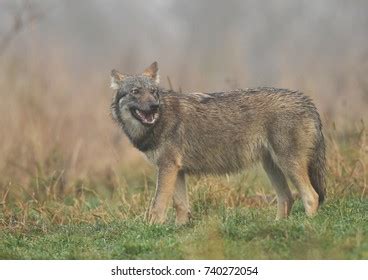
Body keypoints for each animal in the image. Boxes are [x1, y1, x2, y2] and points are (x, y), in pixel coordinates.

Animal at [109, 62, 324, 224]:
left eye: (153, 91)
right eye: (135, 91)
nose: (154, 106)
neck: (160, 120)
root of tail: (308, 102)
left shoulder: (168, 167)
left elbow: (158, 205)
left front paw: (153, 228)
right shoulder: (176, 170)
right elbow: (180, 206)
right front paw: (180, 229)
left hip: (288, 164)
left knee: (311, 197)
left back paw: (307, 227)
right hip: (272, 167)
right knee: (287, 198)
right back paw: (277, 225)